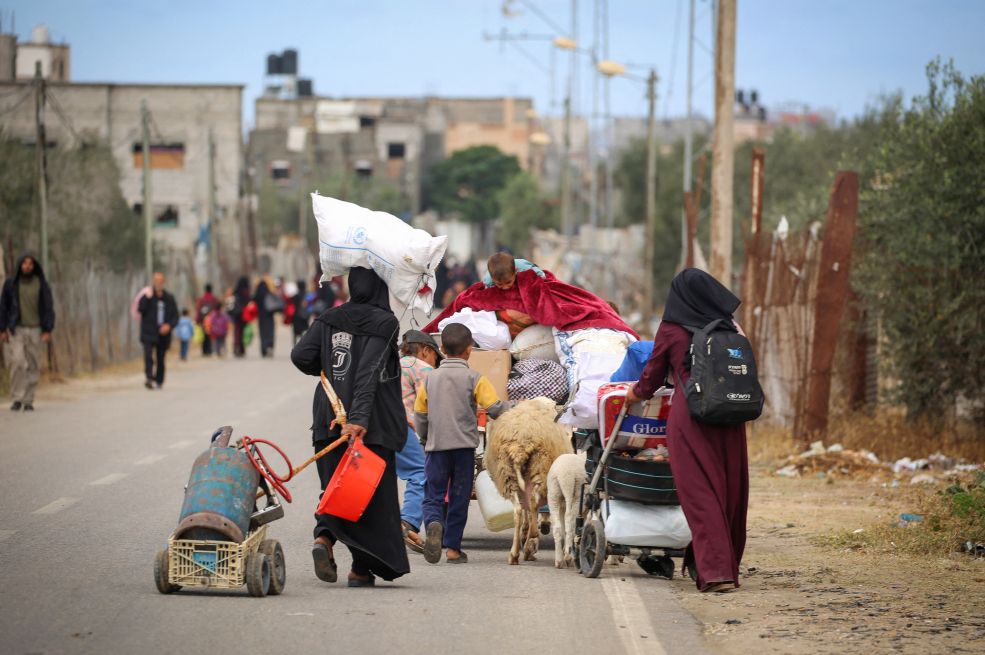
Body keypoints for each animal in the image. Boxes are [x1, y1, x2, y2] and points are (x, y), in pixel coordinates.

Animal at [482, 398, 568, 568]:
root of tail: (519, 446)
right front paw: (529, 540)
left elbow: (526, 511)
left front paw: (525, 536)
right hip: (540, 469)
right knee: (533, 503)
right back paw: (531, 542)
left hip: (508, 475)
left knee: (518, 511)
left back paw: (514, 554)